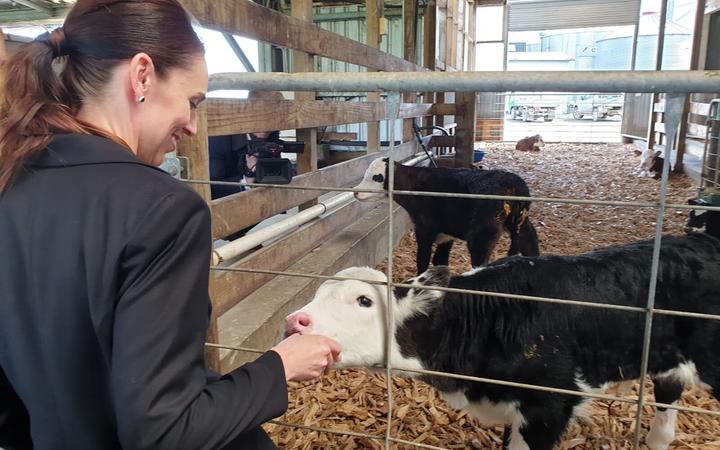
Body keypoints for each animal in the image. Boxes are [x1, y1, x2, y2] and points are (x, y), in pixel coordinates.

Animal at [354, 158, 540, 274]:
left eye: (377, 177)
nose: (355, 191)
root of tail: (513, 184)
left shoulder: (424, 228)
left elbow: (423, 260)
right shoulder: (446, 234)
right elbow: (440, 260)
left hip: (483, 233)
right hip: (521, 224)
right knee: (531, 242)